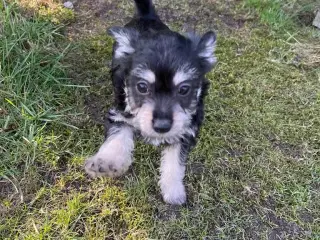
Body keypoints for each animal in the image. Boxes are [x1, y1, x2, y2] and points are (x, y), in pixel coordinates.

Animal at [84, 0, 218, 205]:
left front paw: (173, 190)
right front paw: (106, 162)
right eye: (142, 86)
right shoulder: (120, 112)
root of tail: (147, 15)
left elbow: (175, 158)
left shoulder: (186, 128)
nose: (162, 127)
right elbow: (118, 134)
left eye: (184, 89)